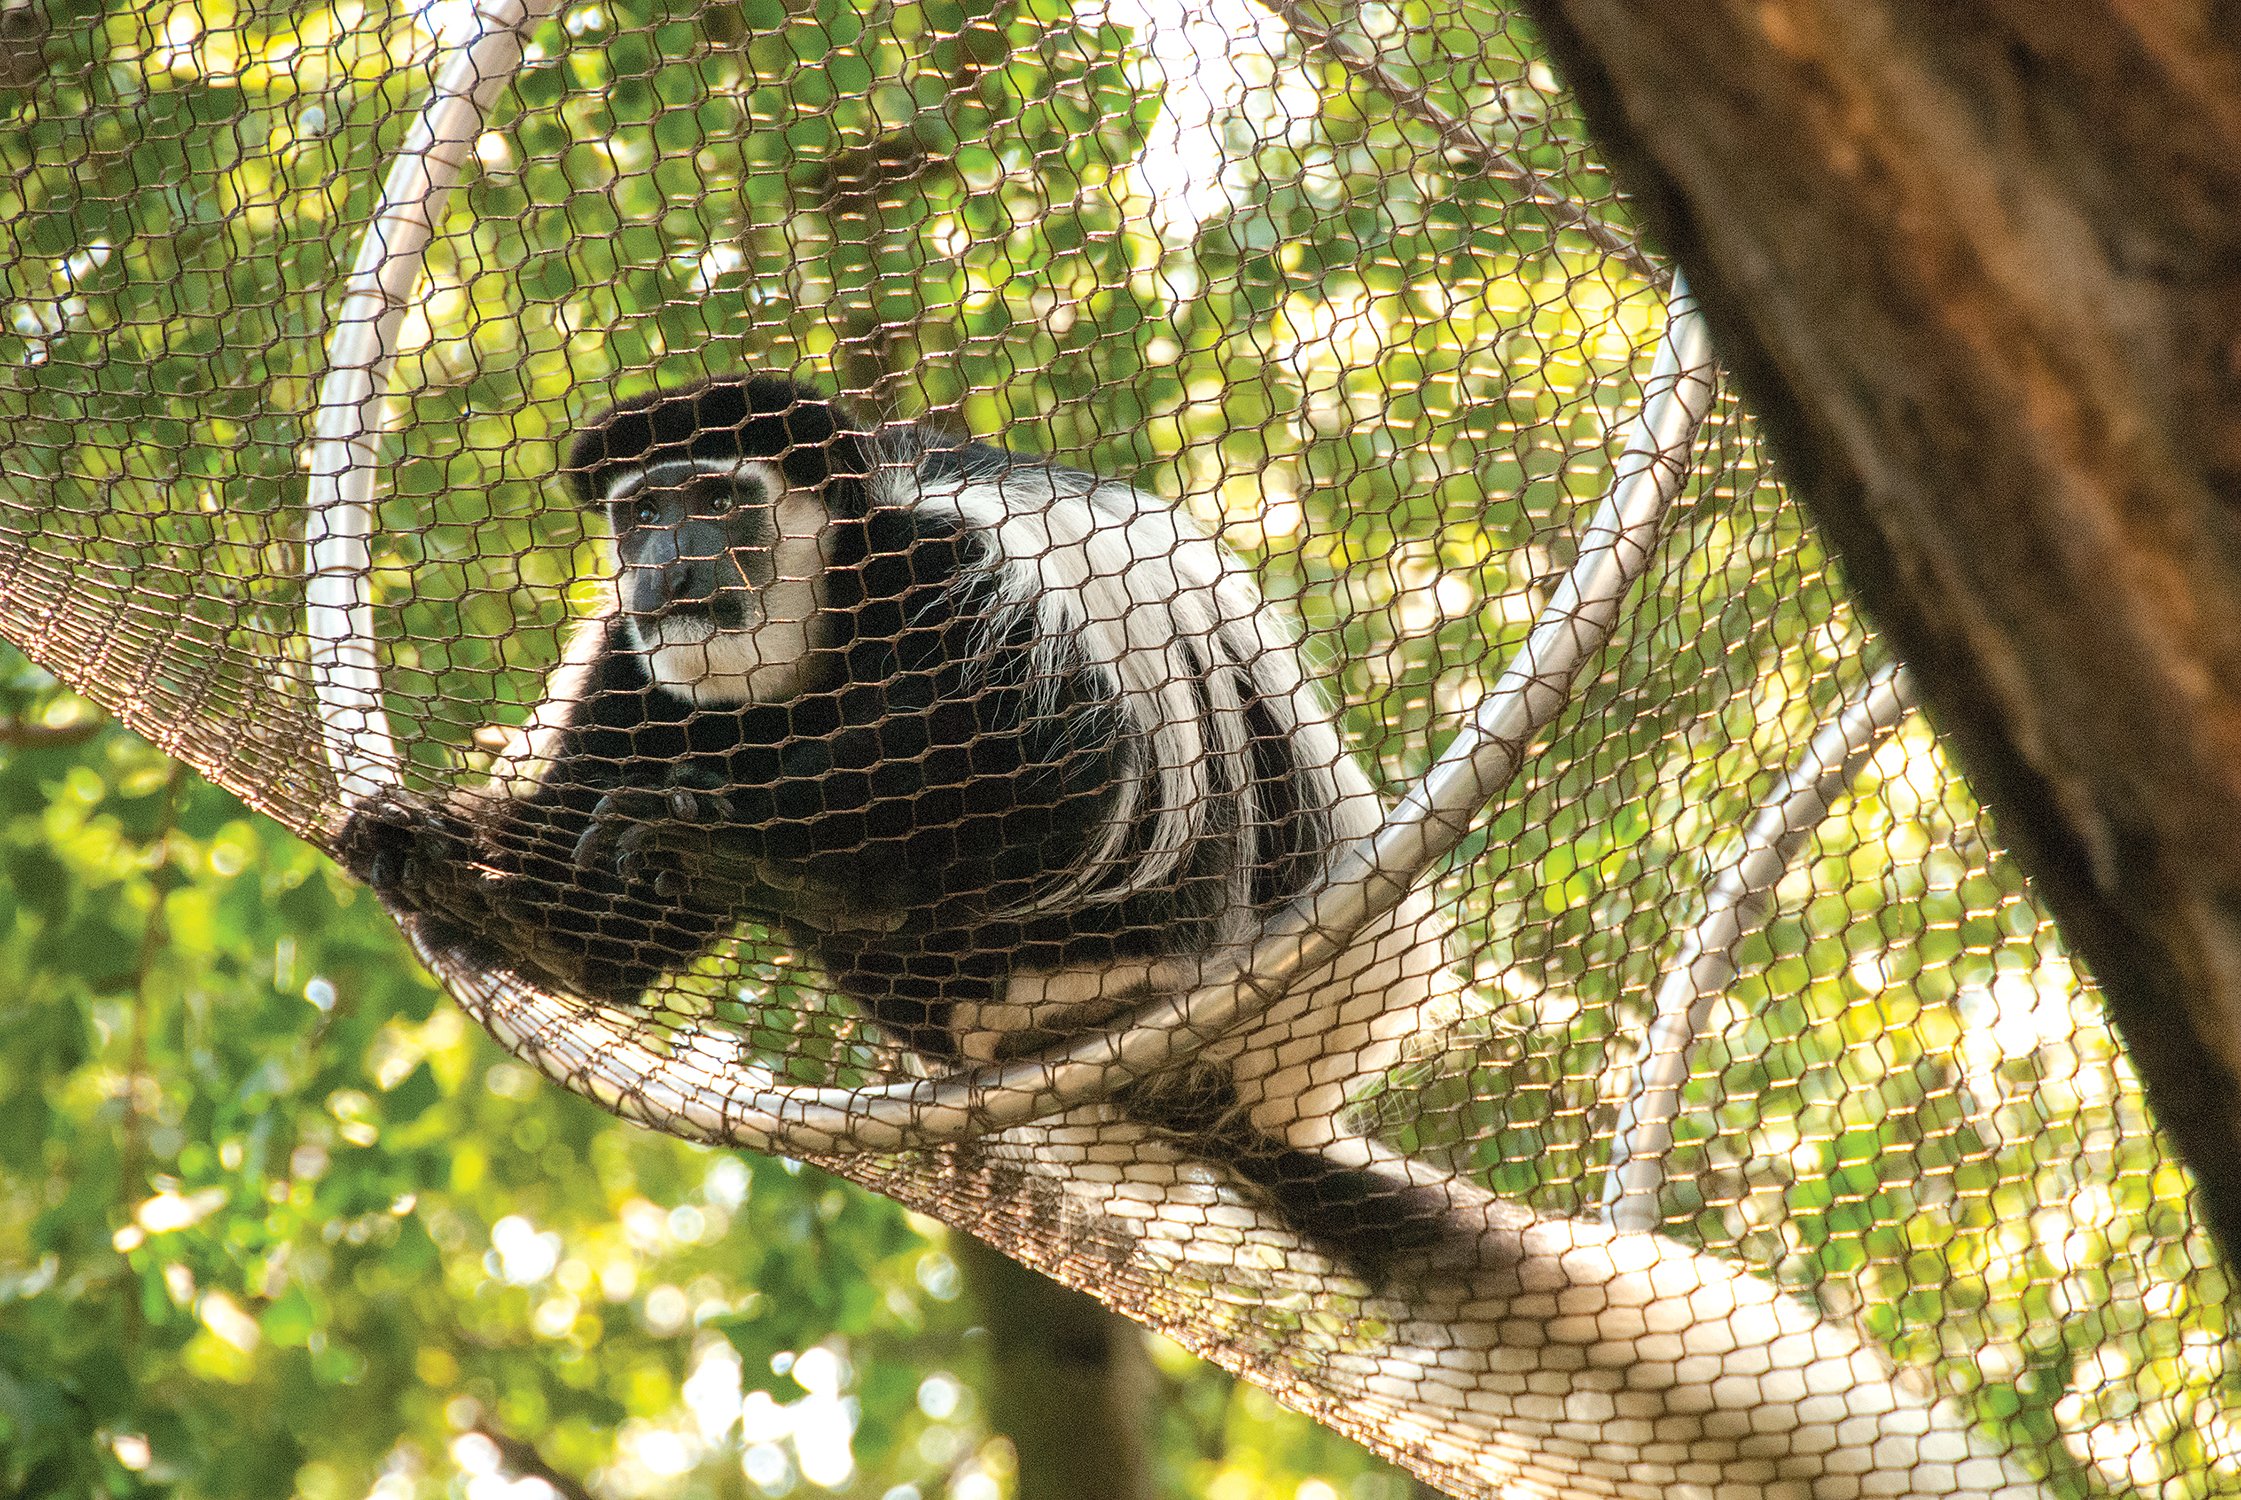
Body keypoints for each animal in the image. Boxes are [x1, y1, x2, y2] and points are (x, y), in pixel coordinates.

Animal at [331, 374, 1452, 1273]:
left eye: (718, 500)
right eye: (642, 511)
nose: (668, 565)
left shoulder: (963, 565)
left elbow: (1067, 768)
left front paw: (727, 834)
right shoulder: (629, 654)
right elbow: (605, 933)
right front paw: (440, 859)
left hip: (1150, 934)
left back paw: (773, 868)